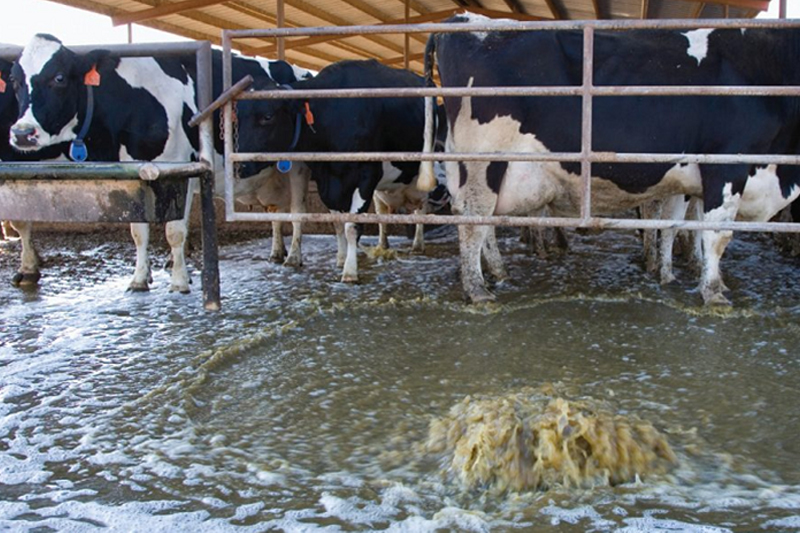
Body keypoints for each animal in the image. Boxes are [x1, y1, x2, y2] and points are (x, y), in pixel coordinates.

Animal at [10, 34, 316, 290]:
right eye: (15, 81)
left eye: (59, 78)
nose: (22, 133)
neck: (133, 98)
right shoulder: (137, 172)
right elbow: (138, 230)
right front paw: (140, 279)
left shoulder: (184, 165)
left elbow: (175, 230)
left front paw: (179, 281)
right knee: (275, 210)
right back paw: (276, 252)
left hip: (299, 166)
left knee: (297, 210)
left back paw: (294, 256)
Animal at [236, 59, 434, 282]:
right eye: (236, 117)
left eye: (268, 116)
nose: (239, 165)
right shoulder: (326, 180)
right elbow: (338, 223)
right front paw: (341, 259)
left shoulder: (367, 175)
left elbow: (352, 227)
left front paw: (349, 272)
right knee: (385, 213)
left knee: (422, 209)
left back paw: (418, 244)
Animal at [418, 14, 800, 306]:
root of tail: (462, 20)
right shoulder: (727, 162)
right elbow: (717, 234)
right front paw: (714, 293)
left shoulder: (687, 177)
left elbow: (674, 226)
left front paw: (671, 277)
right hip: (485, 159)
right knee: (473, 218)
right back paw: (478, 290)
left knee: (483, 221)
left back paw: (498, 273)